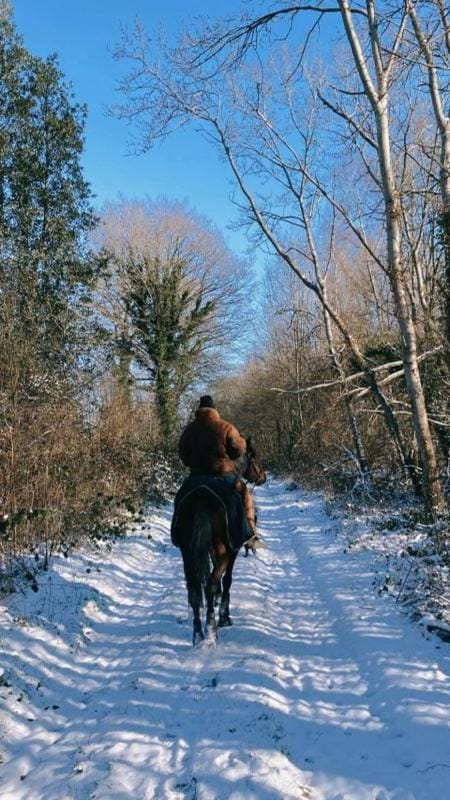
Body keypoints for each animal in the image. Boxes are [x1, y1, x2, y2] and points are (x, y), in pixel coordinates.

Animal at [176, 438, 266, 645]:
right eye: (254, 456)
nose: (263, 477)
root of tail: (201, 499)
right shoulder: (232, 549)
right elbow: (227, 579)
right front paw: (224, 616)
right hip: (223, 548)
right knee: (210, 583)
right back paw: (211, 631)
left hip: (187, 551)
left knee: (194, 589)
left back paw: (198, 634)